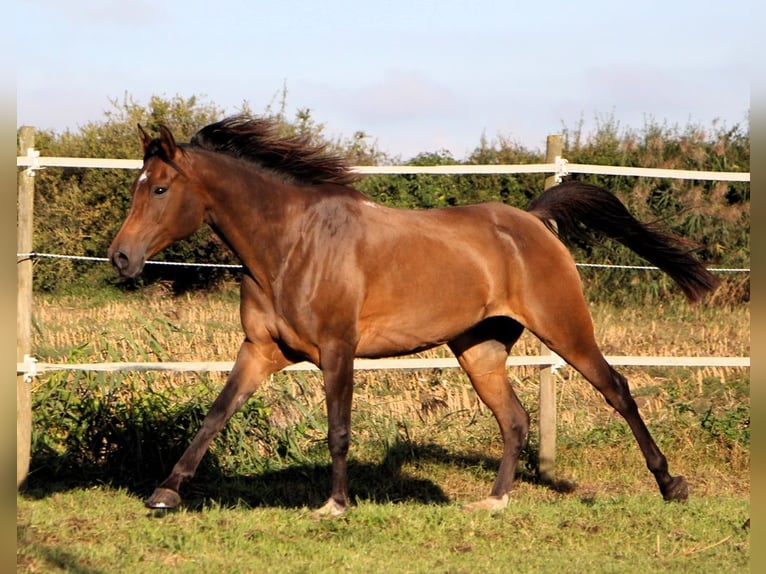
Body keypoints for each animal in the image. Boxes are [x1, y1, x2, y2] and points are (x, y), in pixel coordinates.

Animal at [108, 113, 720, 516]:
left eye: (159, 188)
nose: (121, 257)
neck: (290, 245)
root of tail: (532, 221)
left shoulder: (338, 349)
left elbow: (338, 428)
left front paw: (336, 504)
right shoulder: (260, 350)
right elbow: (215, 414)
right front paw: (164, 493)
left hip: (565, 327)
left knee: (617, 389)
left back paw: (671, 485)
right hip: (479, 348)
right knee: (515, 419)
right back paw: (493, 502)